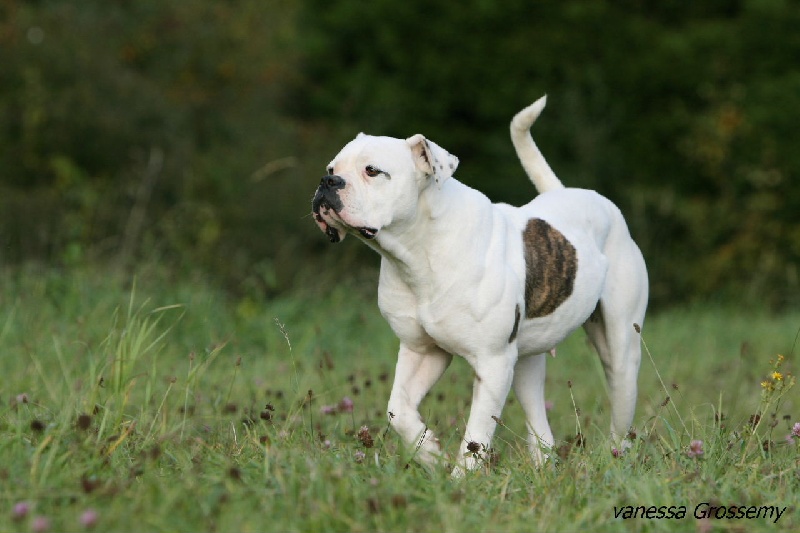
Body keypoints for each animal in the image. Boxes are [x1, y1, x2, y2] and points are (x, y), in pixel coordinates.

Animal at [310, 94, 648, 474]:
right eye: (332, 168)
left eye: (372, 170)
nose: (327, 182)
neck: (419, 250)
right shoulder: (422, 351)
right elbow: (398, 410)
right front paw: (430, 452)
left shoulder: (492, 362)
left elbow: (476, 436)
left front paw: (460, 480)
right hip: (526, 362)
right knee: (537, 418)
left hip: (621, 351)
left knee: (621, 410)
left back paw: (616, 458)